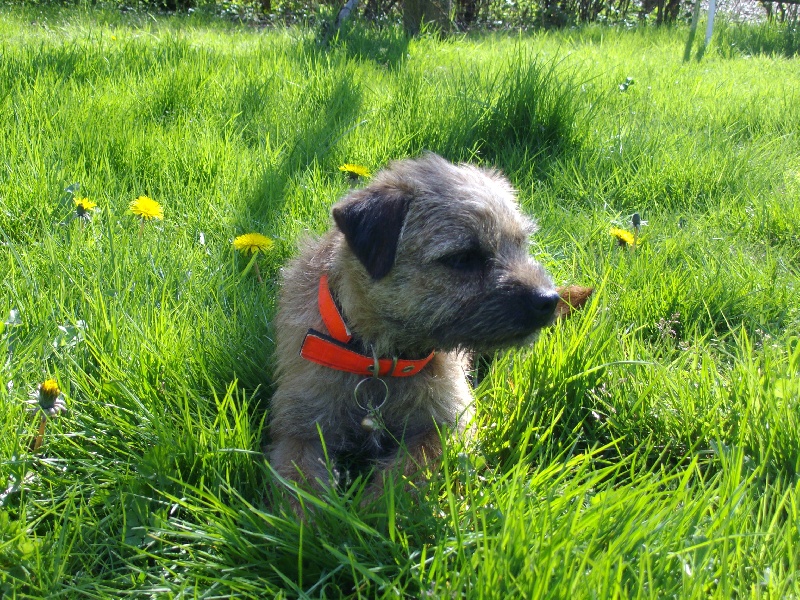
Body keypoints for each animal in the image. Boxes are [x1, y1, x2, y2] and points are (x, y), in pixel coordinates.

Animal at [268, 152, 564, 494]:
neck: (379, 360)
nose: (549, 300)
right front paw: (315, 508)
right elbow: (298, 481)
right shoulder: (298, 428)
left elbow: (406, 473)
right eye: (462, 258)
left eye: (520, 245)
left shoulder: (448, 426)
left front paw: (373, 505)